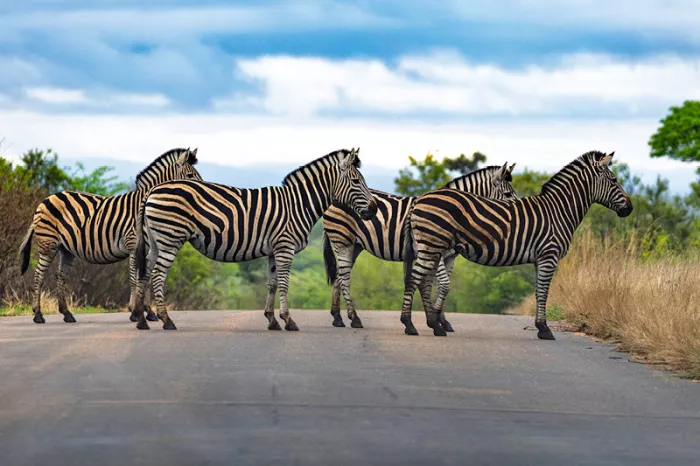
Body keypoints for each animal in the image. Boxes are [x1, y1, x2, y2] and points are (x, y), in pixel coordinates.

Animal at [19, 148, 202, 324]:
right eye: (190, 176)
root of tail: (45, 199)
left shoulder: (148, 248)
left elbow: (146, 278)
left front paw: (148, 312)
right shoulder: (133, 244)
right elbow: (135, 278)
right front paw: (134, 311)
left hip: (66, 249)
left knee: (60, 277)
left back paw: (67, 314)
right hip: (48, 243)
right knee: (39, 275)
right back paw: (38, 315)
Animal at [131, 148, 378, 331]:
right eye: (356, 181)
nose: (374, 209)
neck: (298, 204)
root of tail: (152, 190)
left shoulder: (273, 250)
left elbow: (272, 283)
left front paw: (272, 320)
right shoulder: (285, 247)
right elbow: (284, 284)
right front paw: (288, 320)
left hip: (155, 242)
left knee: (145, 273)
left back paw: (142, 320)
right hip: (170, 239)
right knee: (157, 275)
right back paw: (166, 320)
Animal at [322, 162, 517, 330]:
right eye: (508, 195)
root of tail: (332, 199)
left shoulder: (449, 256)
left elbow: (439, 286)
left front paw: (440, 320)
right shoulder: (435, 251)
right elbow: (443, 285)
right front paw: (436, 320)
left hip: (355, 246)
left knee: (339, 276)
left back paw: (338, 317)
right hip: (342, 240)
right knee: (344, 277)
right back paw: (354, 318)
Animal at [402, 151, 633, 338]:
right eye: (614, 180)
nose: (629, 208)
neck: (558, 211)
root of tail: (420, 199)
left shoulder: (540, 258)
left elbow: (539, 292)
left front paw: (540, 327)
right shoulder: (549, 255)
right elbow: (544, 292)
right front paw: (545, 330)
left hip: (434, 248)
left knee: (423, 281)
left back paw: (434, 326)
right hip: (432, 245)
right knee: (414, 280)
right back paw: (410, 325)